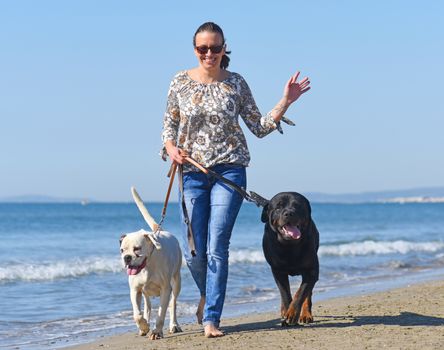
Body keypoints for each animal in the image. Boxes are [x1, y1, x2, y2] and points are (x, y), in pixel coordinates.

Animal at [119, 189, 183, 340]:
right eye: (122, 250)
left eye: (137, 248)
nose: (127, 258)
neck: (147, 266)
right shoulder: (134, 290)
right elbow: (137, 314)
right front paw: (143, 326)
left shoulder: (166, 289)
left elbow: (161, 313)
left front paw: (156, 332)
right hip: (145, 292)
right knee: (147, 306)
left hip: (176, 282)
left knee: (173, 304)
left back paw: (174, 325)